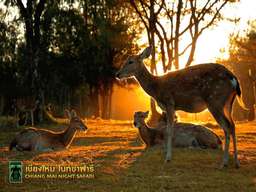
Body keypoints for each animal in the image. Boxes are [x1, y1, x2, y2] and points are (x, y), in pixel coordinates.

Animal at [117, 45, 247, 168]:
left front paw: (167, 158)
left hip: (215, 100)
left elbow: (169, 130)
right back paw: (236, 163)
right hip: (228, 103)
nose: (117, 74)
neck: (157, 88)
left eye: (130, 61)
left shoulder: (169, 102)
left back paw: (224, 163)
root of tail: (234, 79)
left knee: (227, 127)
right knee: (233, 125)